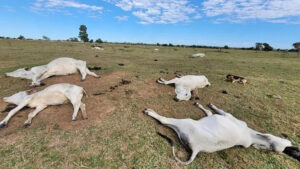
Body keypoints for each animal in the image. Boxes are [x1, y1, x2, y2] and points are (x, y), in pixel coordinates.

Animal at [144, 103, 300, 165]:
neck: (251, 135)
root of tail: (197, 149)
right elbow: (209, 112)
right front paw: (201, 105)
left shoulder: (226, 115)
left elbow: (215, 110)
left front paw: (209, 105)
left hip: (185, 122)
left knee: (164, 120)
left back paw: (150, 111)